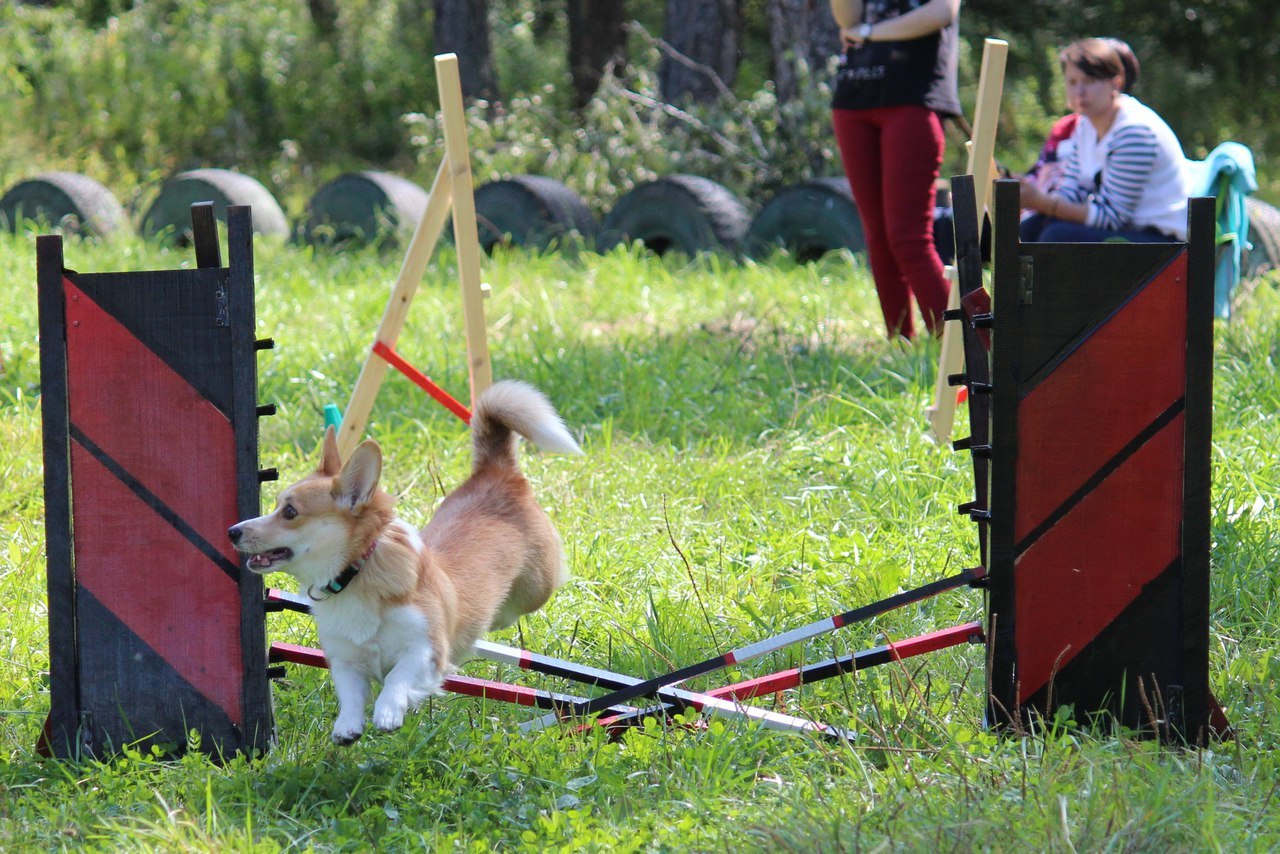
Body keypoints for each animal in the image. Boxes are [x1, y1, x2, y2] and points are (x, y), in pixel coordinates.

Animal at [229, 384, 581, 742]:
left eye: (289, 512)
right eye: (276, 506)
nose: (232, 531)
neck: (355, 574)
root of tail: (497, 470)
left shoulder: (425, 650)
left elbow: (397, 678)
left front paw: (387, 712)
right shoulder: (346, 661)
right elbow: (350, 694)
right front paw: (347, 727)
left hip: (535, 588)